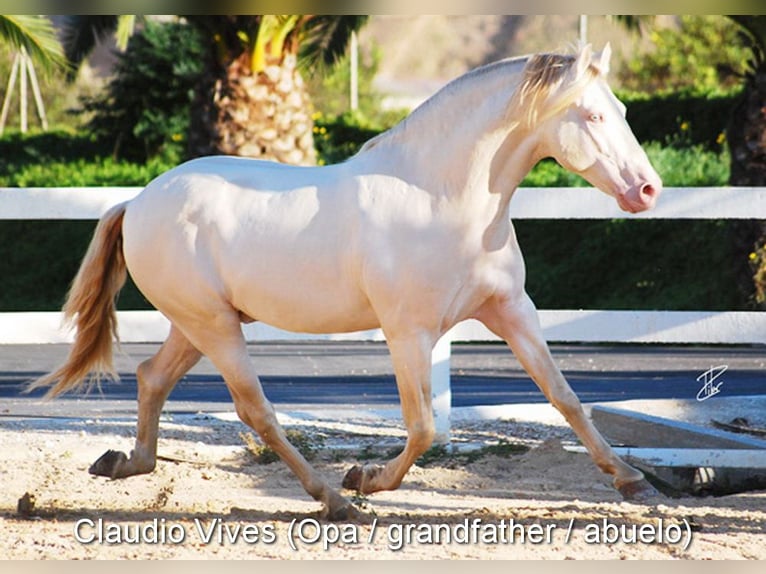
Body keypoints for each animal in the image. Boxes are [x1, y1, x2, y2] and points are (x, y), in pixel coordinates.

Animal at [33, 46, 664, 520]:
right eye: (593, 117)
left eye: (622, 109)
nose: (648, 190)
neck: (440, 198)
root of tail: (137, 201)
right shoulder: (408, 332)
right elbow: (423, 427)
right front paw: (367, 477)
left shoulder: (510, 311)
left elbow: (566, 397)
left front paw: (633, 480)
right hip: (212, 326)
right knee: (255, 410)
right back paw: (336, 500)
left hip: (197, 324)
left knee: (151, 378)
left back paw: (121, 463)